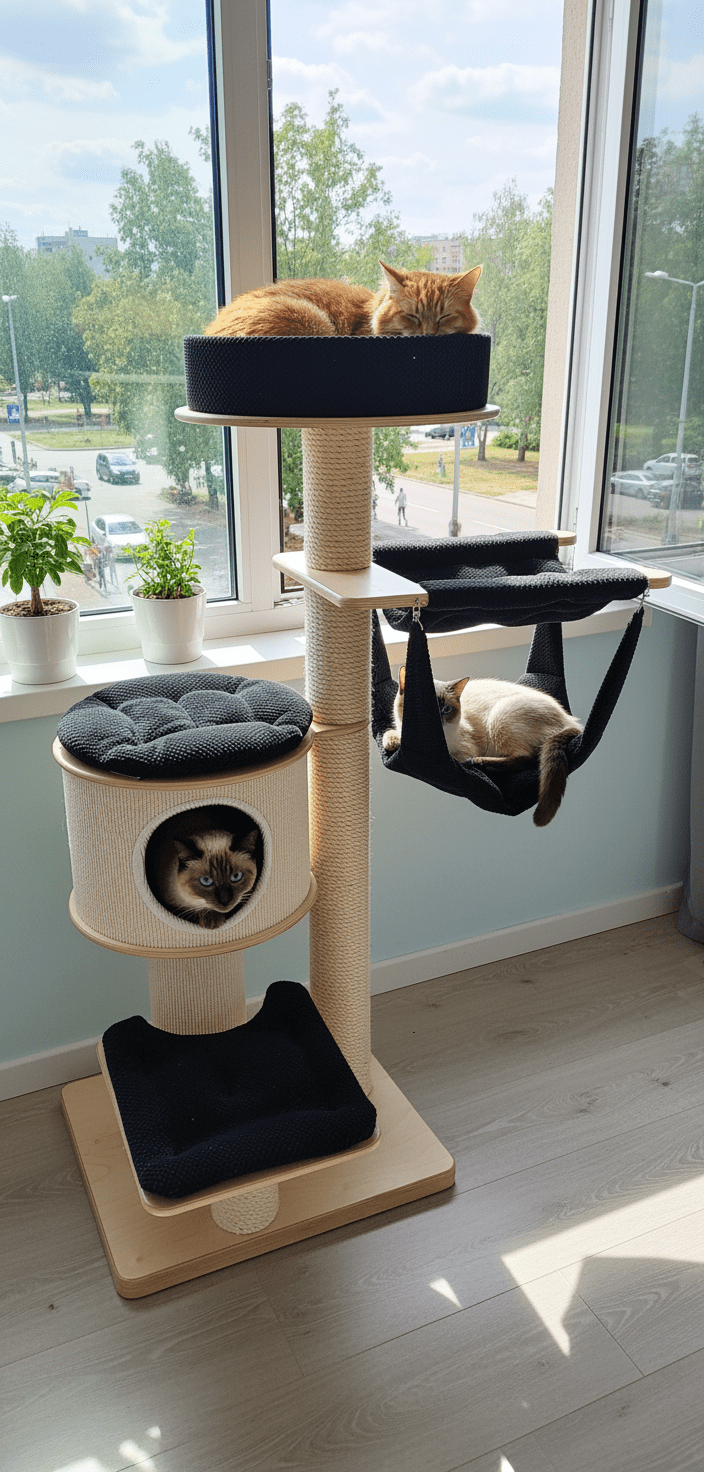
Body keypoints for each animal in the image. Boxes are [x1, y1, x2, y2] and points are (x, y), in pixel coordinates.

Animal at [382, 667, 583, 827]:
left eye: (446, 709)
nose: (437, 721)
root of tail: (569, 720)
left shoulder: (460, 751)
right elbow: (389, 734)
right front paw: (393, 742)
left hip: (500, 717)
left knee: (527, 758)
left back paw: (479, 763)